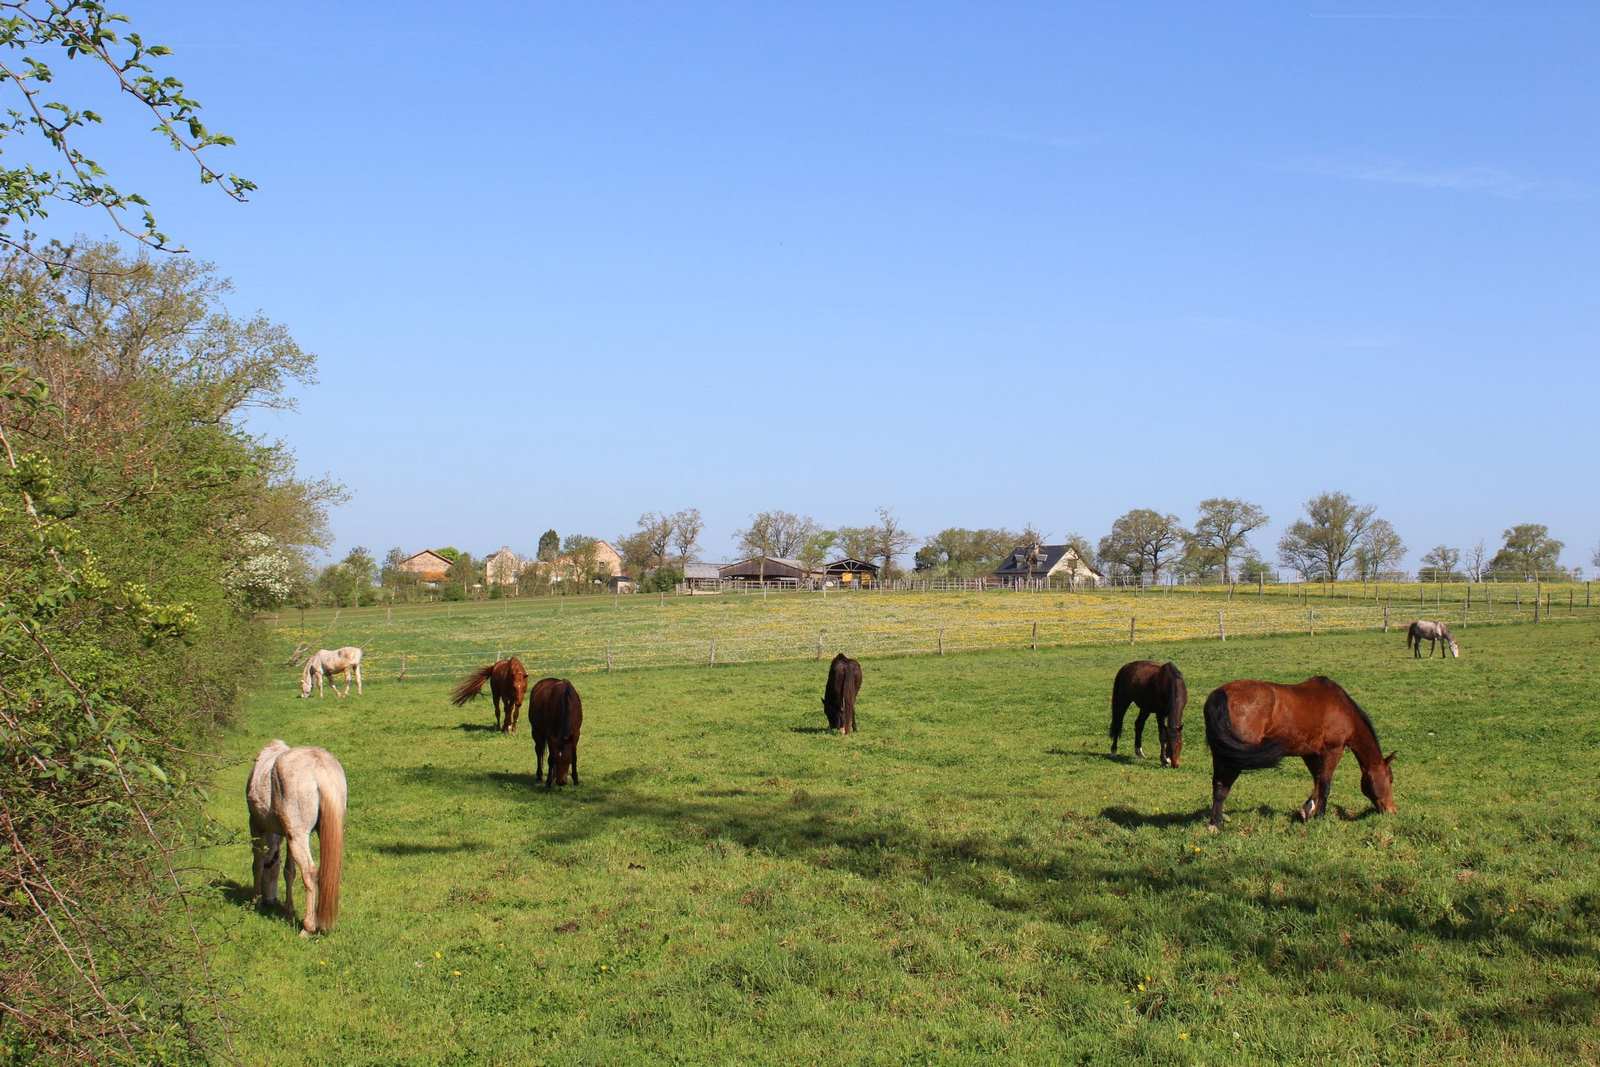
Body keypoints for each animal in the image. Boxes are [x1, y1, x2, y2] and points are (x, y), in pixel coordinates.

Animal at [246, 742, 347, 934]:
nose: (270, 900)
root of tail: (319, 769)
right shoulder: (287, 835)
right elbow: (289, 872)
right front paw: (289, 911)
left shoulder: (255, 825)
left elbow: (257, 864)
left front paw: (254, 901)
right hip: (302, 836)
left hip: (298, 837)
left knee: (309, 872)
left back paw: (308, 927)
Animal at [1203, 675, 1395, 831]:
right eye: (1391, 779)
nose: (1392, 810)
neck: (1341, 707)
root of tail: (1220, 693)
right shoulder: (1333, 750)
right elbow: (1325, 784)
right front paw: (1319, 816)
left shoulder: (1310, 753)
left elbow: (1317, 781)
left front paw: (1307, 811)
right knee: (1223, 786)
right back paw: (1216, 824)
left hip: (1221, 754)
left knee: (1218, 786)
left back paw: (1216, 823)